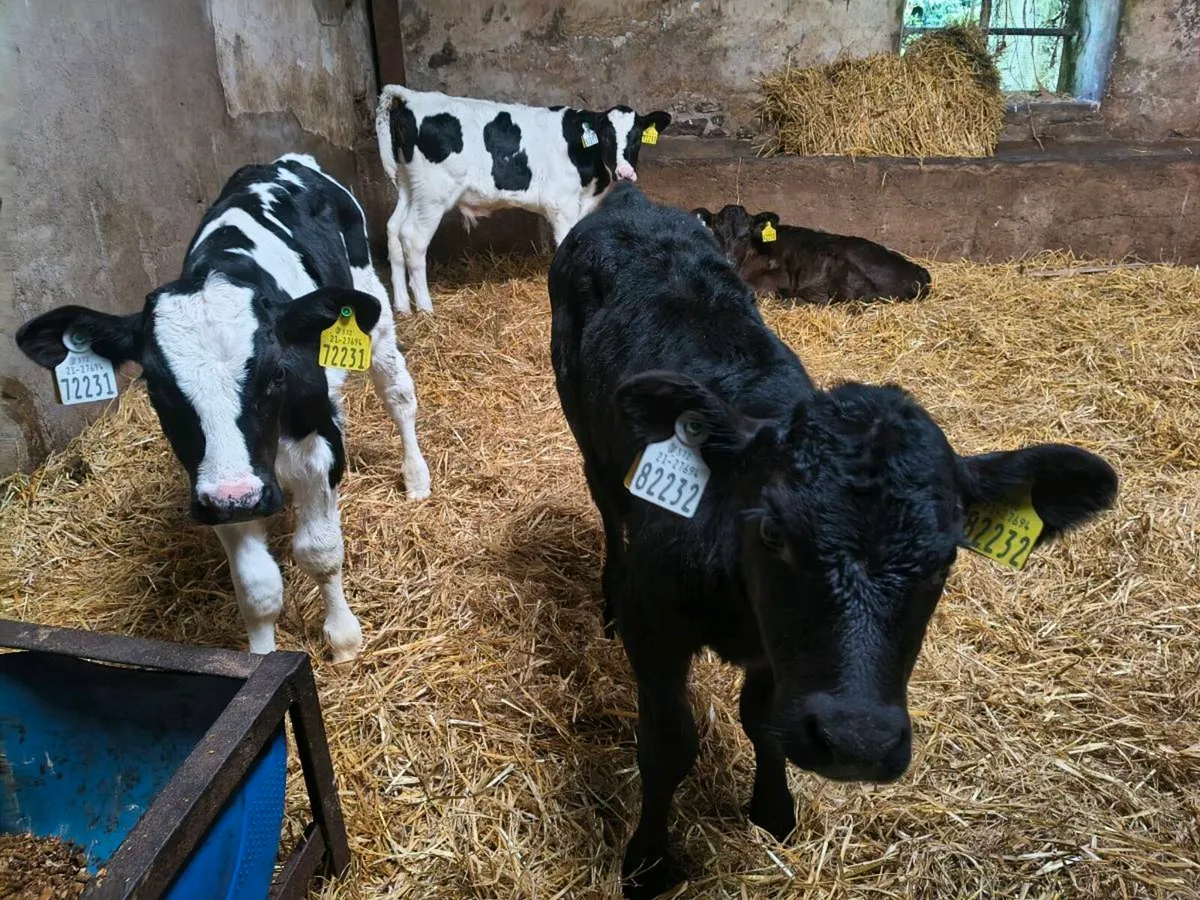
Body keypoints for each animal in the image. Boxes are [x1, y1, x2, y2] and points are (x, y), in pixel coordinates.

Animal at [16, 154, 431, 664]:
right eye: (156, 387)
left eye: (277, 374)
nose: (239, 496)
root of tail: (286, 162)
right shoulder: (216, 485)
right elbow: (257, 587)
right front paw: (261, 663)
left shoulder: (315, 445)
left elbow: (320, 551)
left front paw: (343, 640)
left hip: (373, 308)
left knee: (398, 393)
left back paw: (416, 477)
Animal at [375, 85, 671, 315]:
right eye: (607, 135)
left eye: (637, 137)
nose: (625, 172)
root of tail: (411, 97)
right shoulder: (561, 205)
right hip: (433, 194)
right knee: (413, 238)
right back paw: (426, 308)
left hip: (410, 187)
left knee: (393, 230)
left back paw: (402, 306)